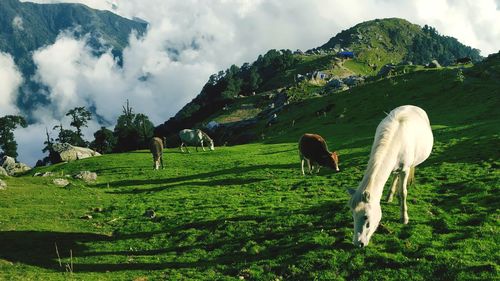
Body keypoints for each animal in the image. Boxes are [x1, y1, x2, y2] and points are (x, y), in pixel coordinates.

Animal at [348, 105, 434, 247]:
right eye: (353, 215)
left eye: (366, 217)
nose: (358, 243)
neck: (396, 139)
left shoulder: (405, 170)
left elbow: (403, 192)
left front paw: (404, 218)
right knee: (395, 177)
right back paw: (390, 196)